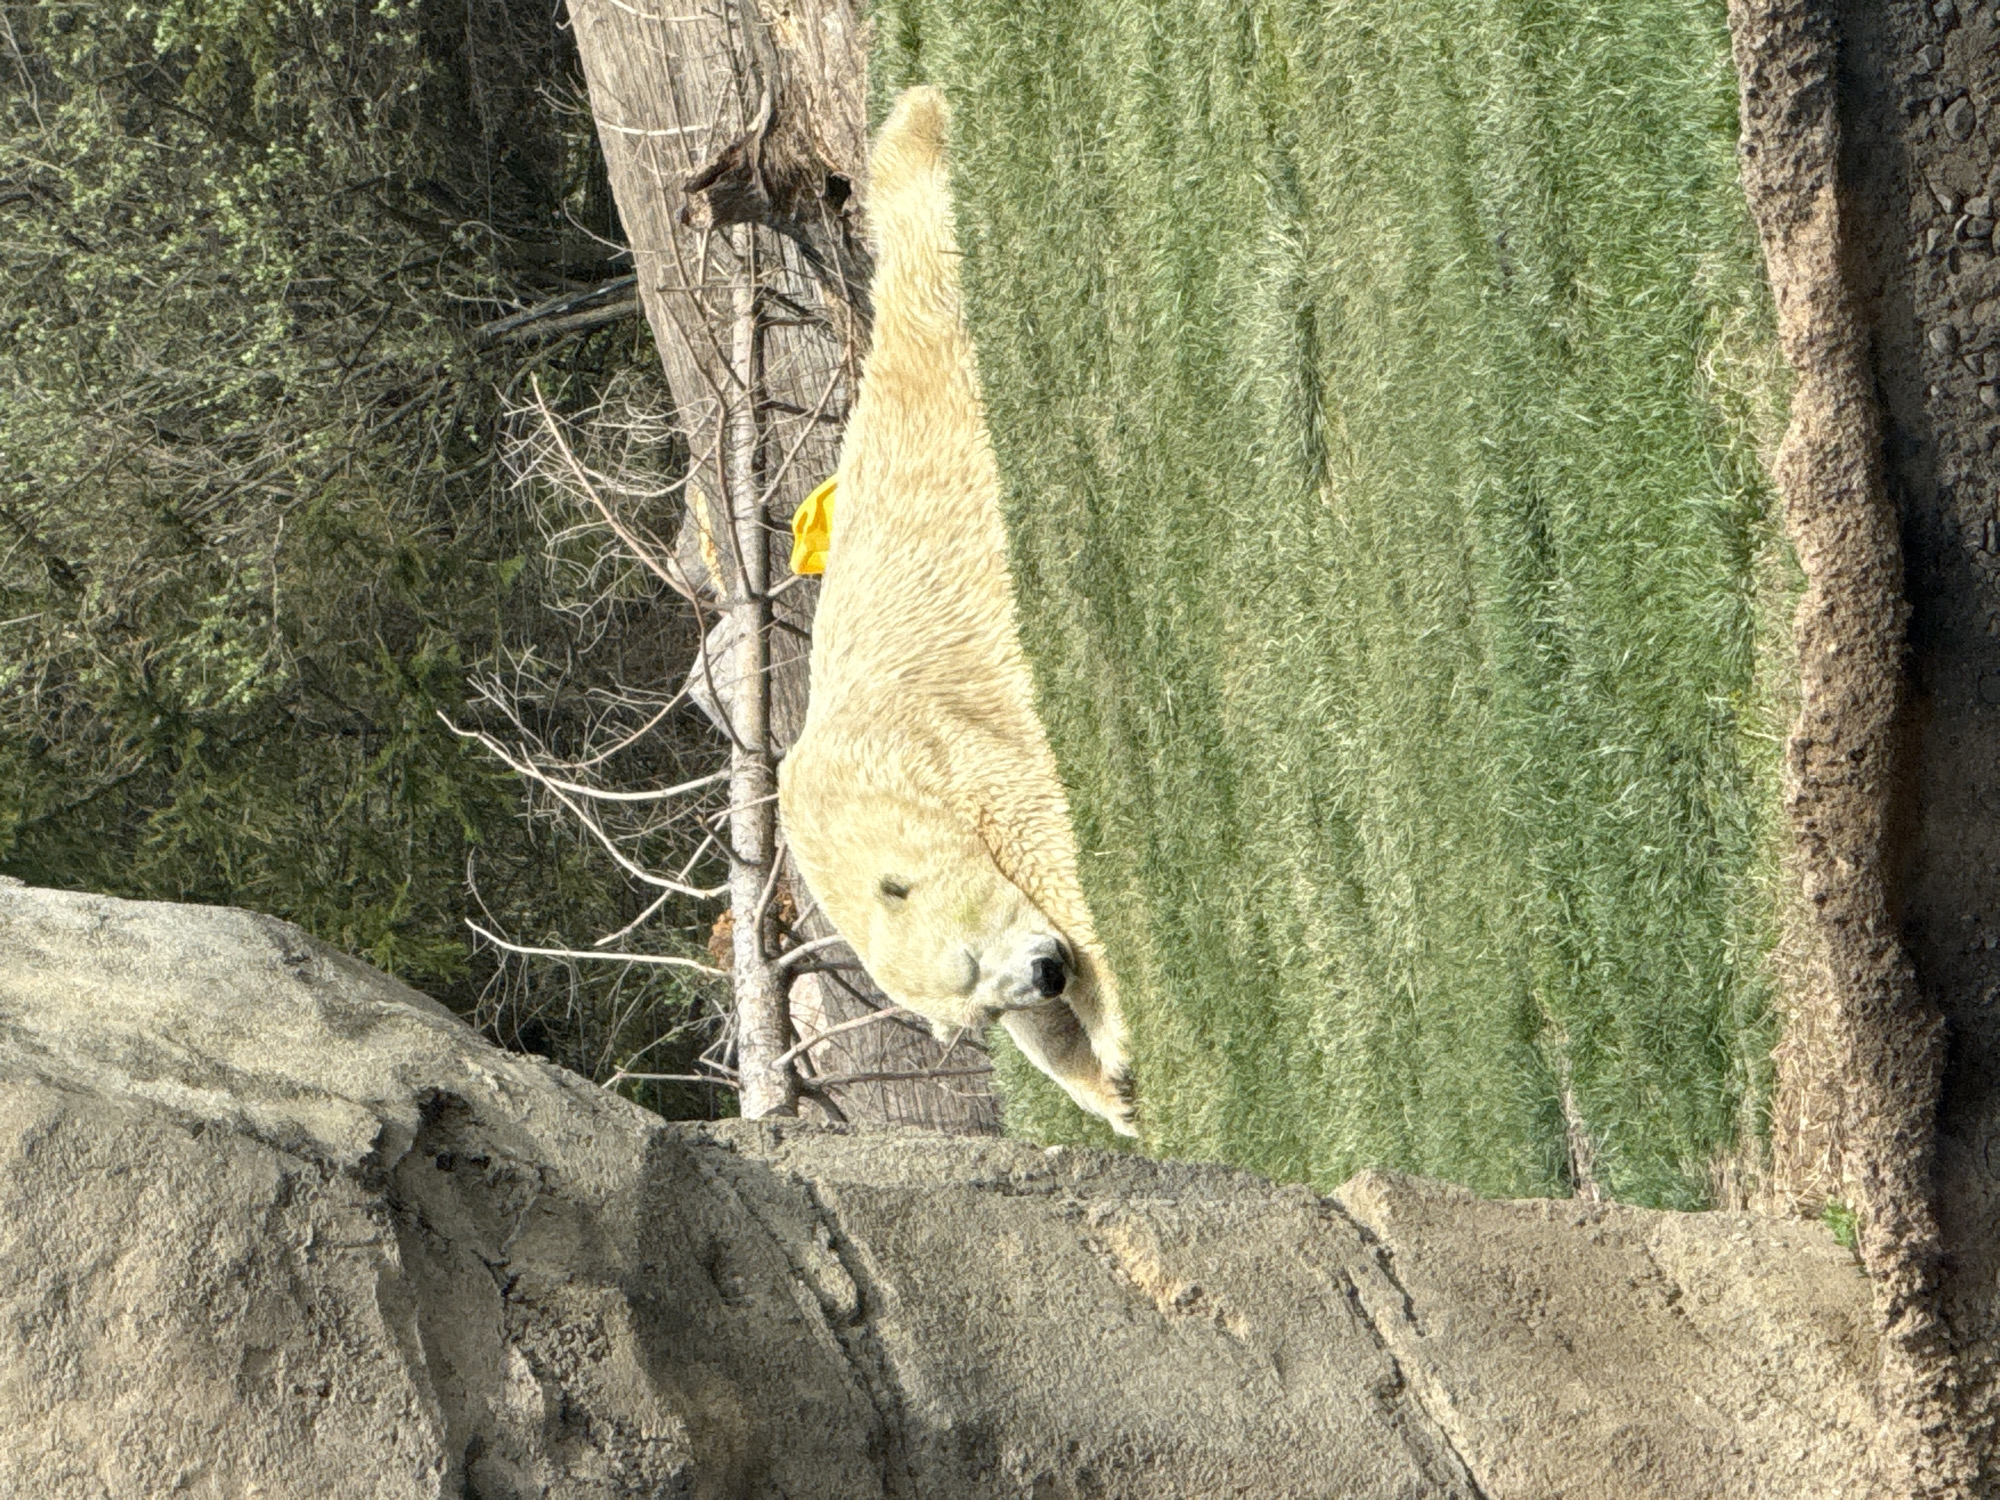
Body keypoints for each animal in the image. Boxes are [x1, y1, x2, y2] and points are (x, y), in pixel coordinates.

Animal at [778, 86, 1135, 1136]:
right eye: (978, 998)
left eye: (978, 958)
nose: (1047, 971)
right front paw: (1107, 1087)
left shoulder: (928, 752)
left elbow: (1037, 830)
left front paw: (1114, 1024)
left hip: (935, 304)